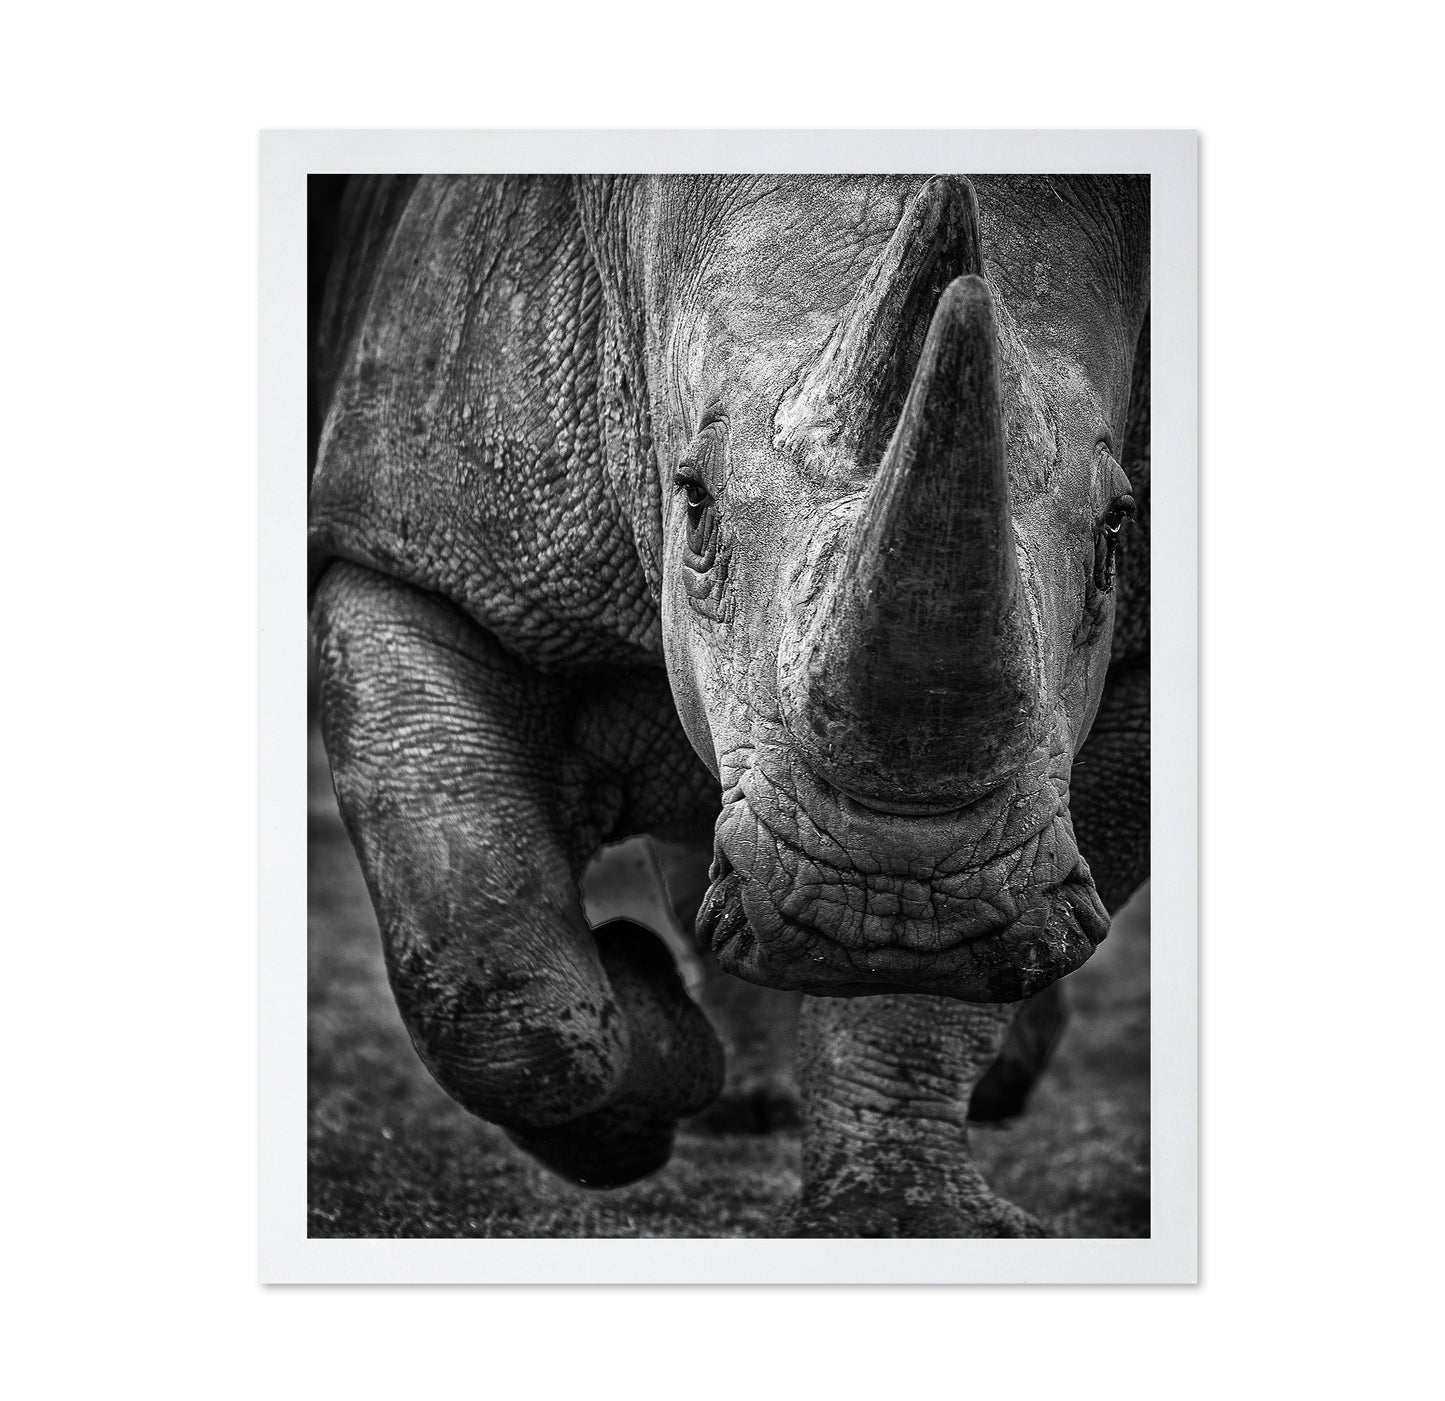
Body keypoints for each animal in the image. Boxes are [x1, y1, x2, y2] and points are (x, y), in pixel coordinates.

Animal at [309, 173, 1150, 1237]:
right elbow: (491, 970)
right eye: (695, 503)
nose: (892, 898)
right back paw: (730, 1091)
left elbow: (923, 999)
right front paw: (652, 1040)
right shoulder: (409, 546)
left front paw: (901, 1220)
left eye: (1117, 530)